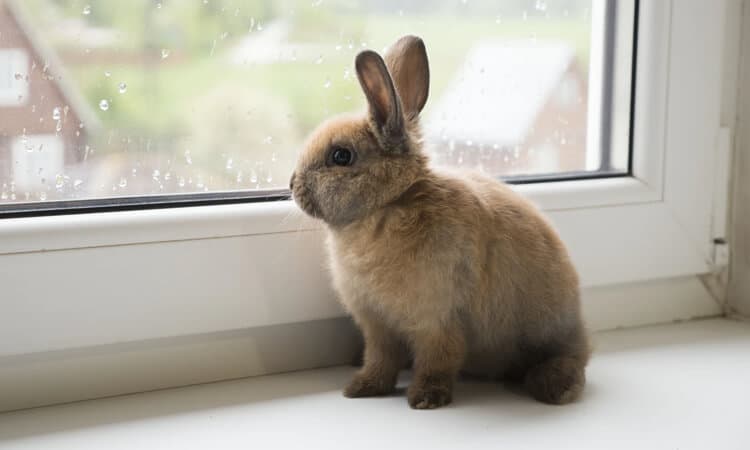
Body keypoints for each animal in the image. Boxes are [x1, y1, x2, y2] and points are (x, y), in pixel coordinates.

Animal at [290, 36, 592, 408]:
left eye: (341, 156)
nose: (292, 184)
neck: (390, 204)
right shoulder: (378, 326)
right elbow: (380, 359)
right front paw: (361, 388)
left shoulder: (437, 320)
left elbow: (439, 359)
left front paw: (425, 398)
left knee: (572, 359)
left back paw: (554, 386)